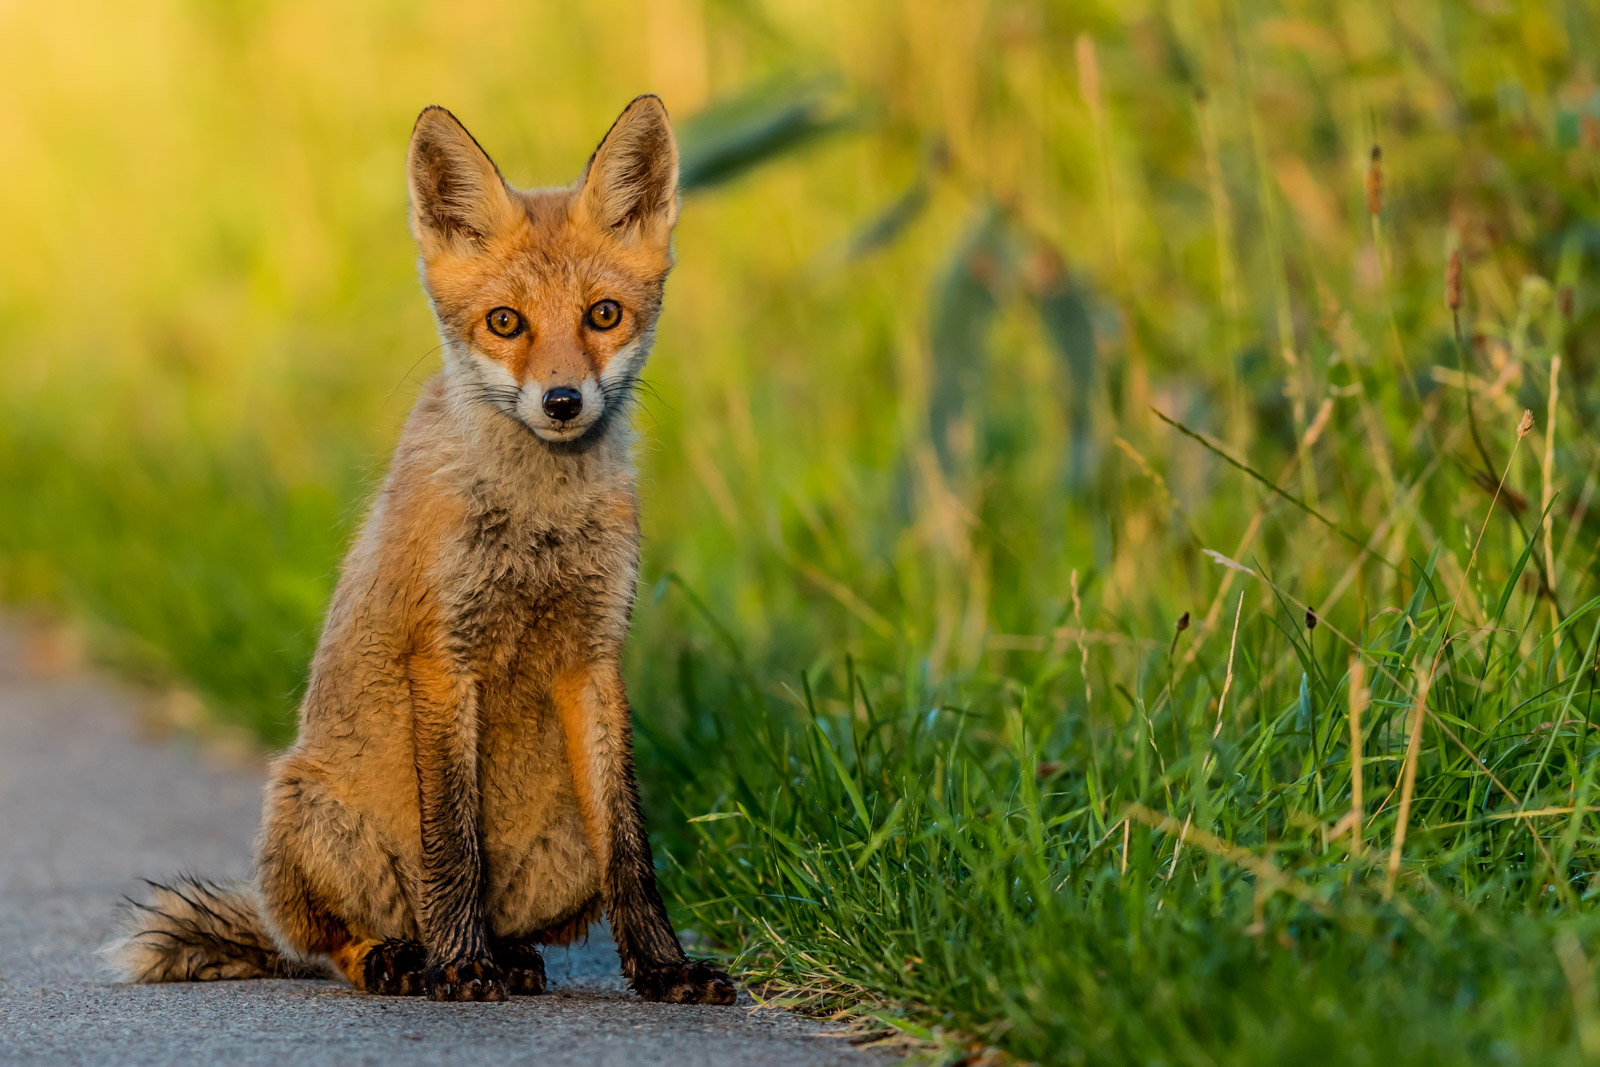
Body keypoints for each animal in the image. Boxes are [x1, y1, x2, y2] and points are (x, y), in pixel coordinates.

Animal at [103, 95, 739, 1004]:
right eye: (506, 323)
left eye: (603, 315)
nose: (562, 400)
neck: (537, 522)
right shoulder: (443, 656)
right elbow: (454, 841)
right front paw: (460, 962)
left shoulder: (593, 656)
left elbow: (632, 850)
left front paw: (662, 968)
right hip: (305, 815)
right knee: (335, 945)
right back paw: (408, 957)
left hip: (563, 849)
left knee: (524, 916)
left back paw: (512, 956)